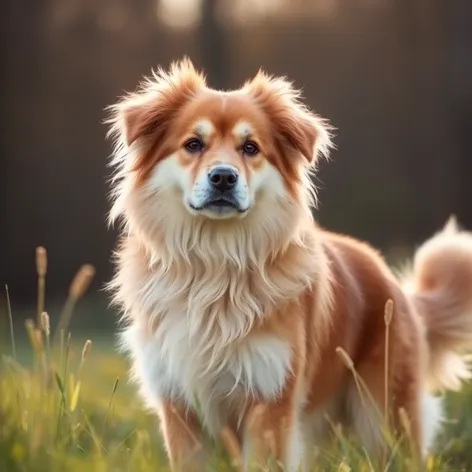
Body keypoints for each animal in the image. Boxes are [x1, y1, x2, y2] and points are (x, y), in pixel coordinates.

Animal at [105, 60, 472, 472]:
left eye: (250, 147)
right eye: (193, 144)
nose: (223, 177)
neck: (215, 262)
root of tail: (394, 285)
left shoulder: (270, 399)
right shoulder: (180, 404)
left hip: (386, 420)